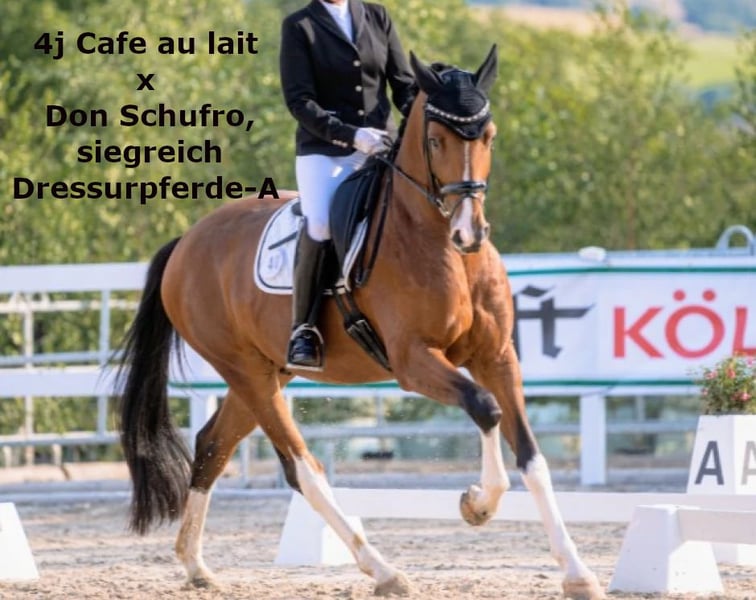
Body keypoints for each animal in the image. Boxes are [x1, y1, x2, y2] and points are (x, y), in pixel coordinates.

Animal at [117, 46, 604, 599]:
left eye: (489, 136)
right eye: (435, 140)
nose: (469, 233)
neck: (439, 247)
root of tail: (187, 242)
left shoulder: (497, 356)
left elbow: (531, 456)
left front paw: (577, 572)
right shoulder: (414, 362)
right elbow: (485, 408)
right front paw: (477, 504)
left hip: (264, 372)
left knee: (213, 445)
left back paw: (196, 564)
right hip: (246, 371)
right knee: (302, 469)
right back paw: (384, 570)